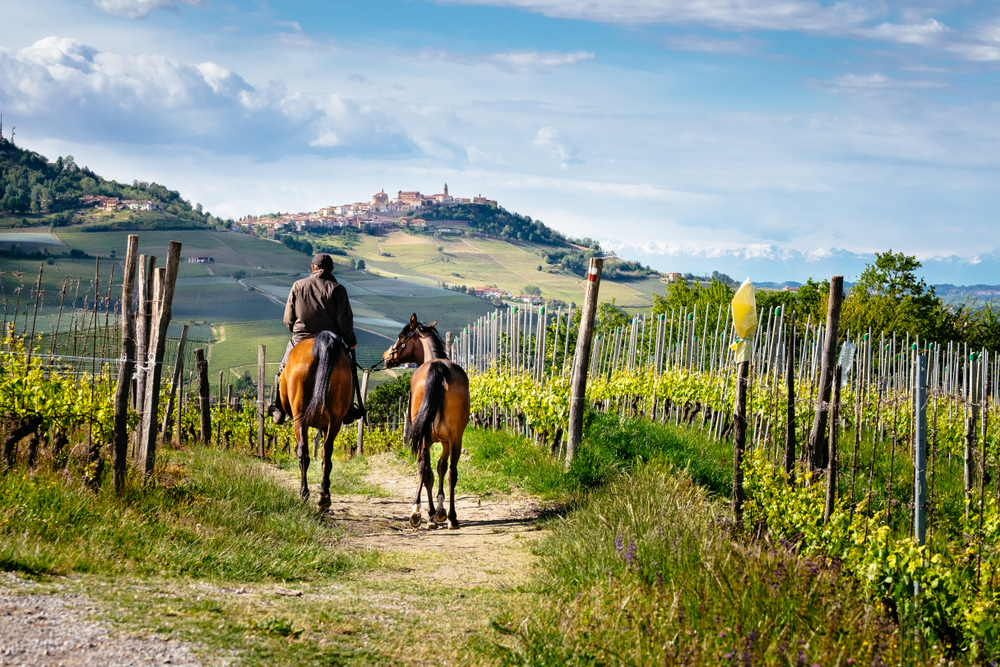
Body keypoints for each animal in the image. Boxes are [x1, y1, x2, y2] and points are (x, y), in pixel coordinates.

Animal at [386, 316, 472, 528]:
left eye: (401, 337)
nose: (387, 356)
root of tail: (438, 368)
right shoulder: (446, 441)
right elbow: (440, 468)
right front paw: (440, 511)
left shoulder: (430, 439)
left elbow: (430, 471)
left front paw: (434, 512)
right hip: (456, 438)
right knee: (451, 472)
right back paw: (452, 518)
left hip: (427, 436)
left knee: (424, 467)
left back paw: (418, 512)